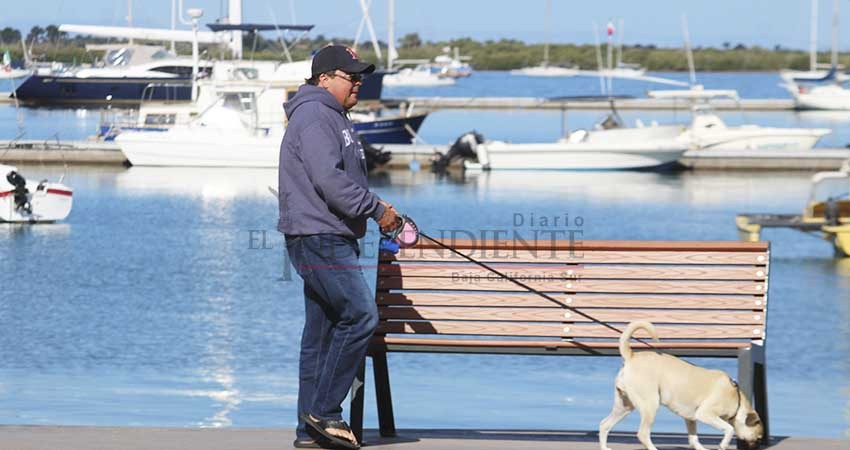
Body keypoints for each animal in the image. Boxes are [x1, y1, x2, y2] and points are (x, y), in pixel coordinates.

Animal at [596, 322, 760, 450]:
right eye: (758, 438)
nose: (755, 446)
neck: (737, 400)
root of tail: (631, 356)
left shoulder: (691, 418)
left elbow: (693, 439)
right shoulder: (706, 414)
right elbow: (729, 429)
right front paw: (723, 444)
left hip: (624, 405)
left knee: (605, 424)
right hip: (649, 405)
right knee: (642, 433)